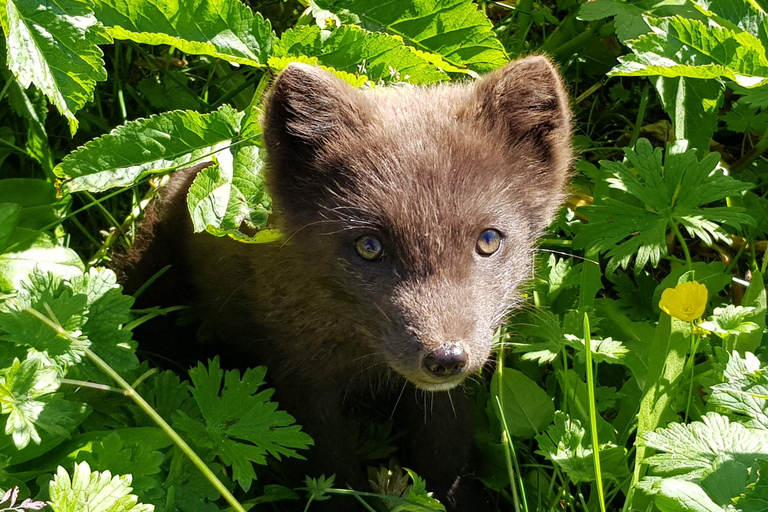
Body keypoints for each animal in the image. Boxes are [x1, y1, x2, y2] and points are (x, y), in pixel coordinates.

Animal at [120, 55, 571, 511]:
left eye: (489, 240)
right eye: (369, 246)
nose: (446, 357)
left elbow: (446, 447)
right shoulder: (300, 374)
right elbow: (327, 468)